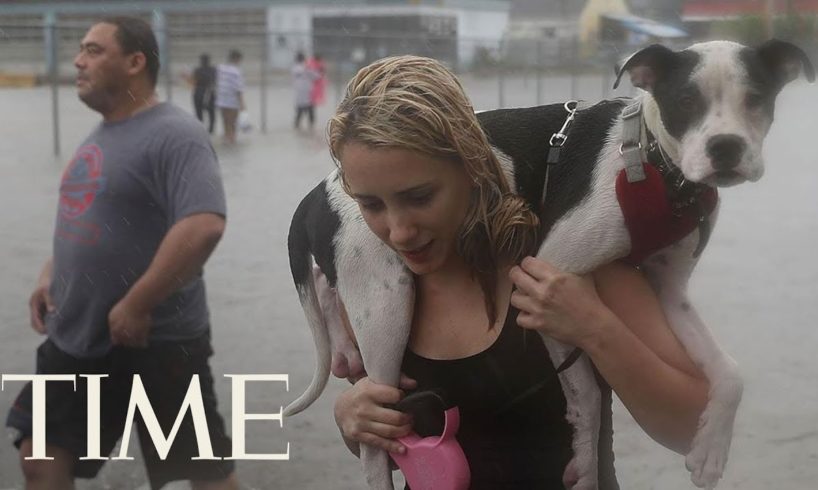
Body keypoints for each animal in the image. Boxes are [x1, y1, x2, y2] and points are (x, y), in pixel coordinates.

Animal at [284, 39, 812, 490]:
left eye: (757, 99)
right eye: (685, 100)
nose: (726, 148)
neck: (653, 166)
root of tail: (319, 190)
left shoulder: (670, 291)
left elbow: (730, 371)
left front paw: (710, 451)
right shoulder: (547, 273)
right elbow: (589, 394)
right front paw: (584, 457)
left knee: (325, 282)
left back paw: (341, 343)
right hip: (387, 306)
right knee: (377, 439)